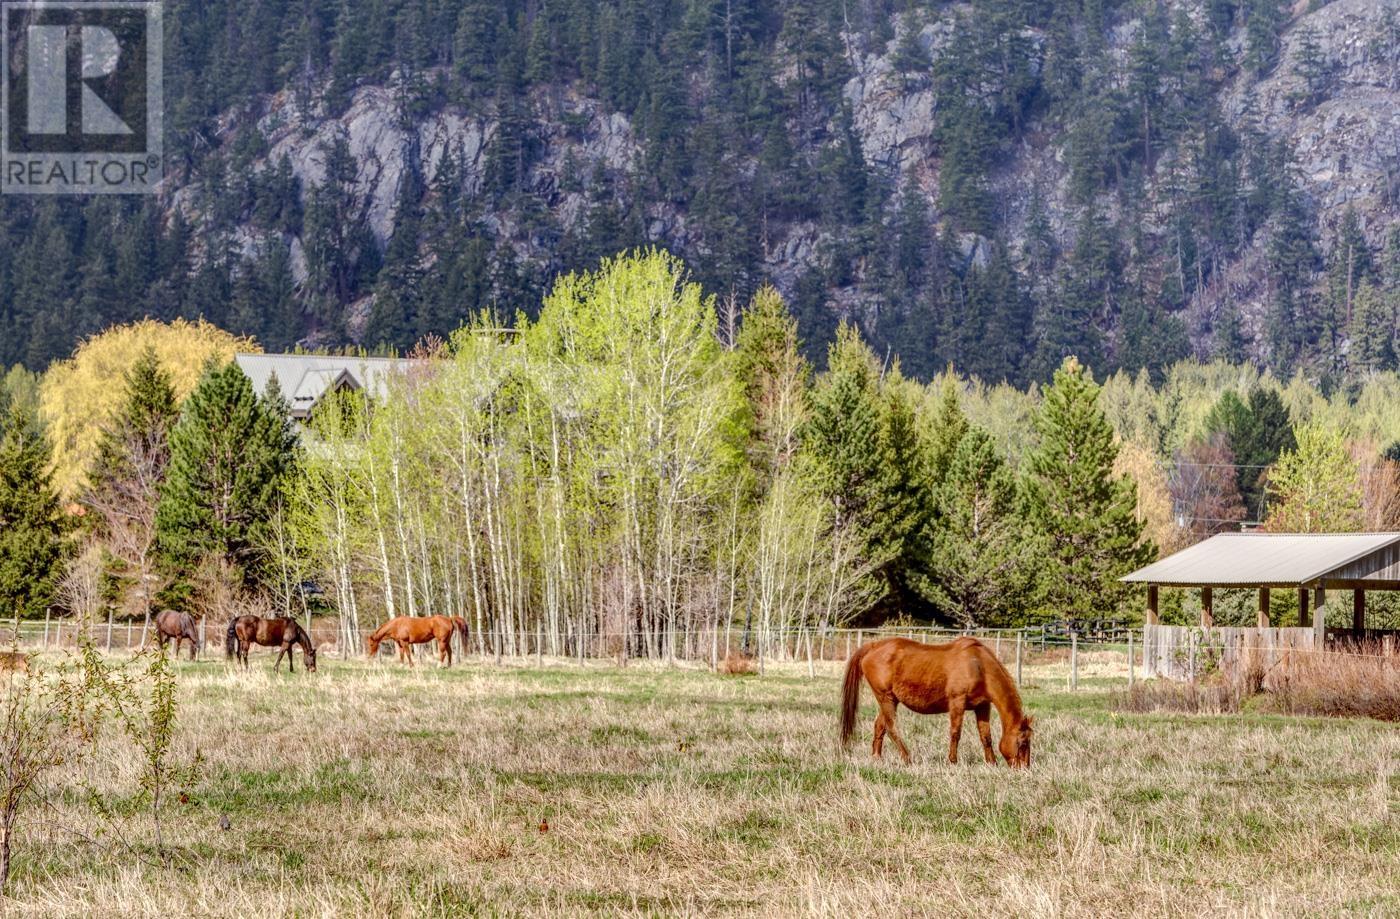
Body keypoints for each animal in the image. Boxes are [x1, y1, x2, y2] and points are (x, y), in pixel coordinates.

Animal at [834, 636, 1036, 762]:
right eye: (1022, 743)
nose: (1023, 769)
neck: (978, 665)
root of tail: (874, 646)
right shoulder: (957, 703)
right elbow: (955, 733)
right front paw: (952, 761)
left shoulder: (983, 706)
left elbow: (986, 736)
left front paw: (992, 762)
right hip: (886, 698)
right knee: (892, 728)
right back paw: (907, 758)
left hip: (890, 700)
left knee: (880, 726)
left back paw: (877, 757)